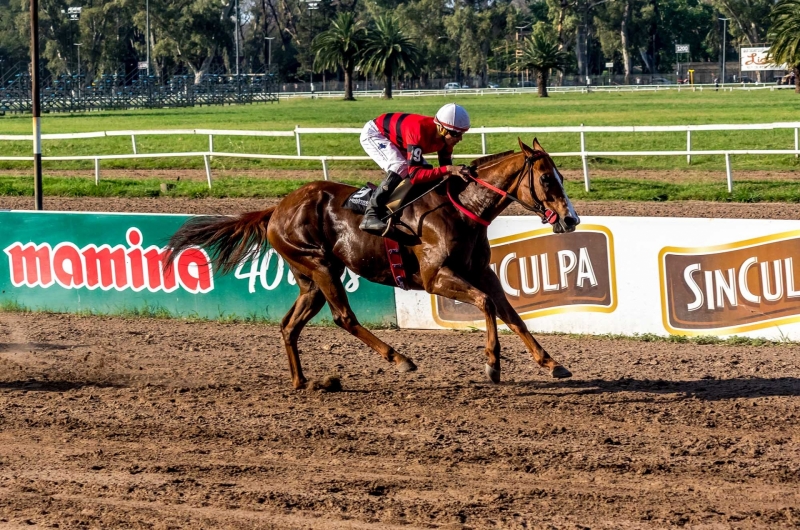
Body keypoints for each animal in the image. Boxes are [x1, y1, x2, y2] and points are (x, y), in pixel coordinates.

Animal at [169, 138, 580, 388]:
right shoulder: (434, 277)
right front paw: (492, 364)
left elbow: (511, 313)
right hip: (321, 266)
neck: (461, 210)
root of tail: (276, 209)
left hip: (310, 279)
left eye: (561, 175)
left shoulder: (481, 271)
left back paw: (302, 381)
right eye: (547, 178)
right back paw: (399, 358)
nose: (571, 219)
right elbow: (486, 304)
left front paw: (551, 363)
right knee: (343, 317)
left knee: (289, 326)